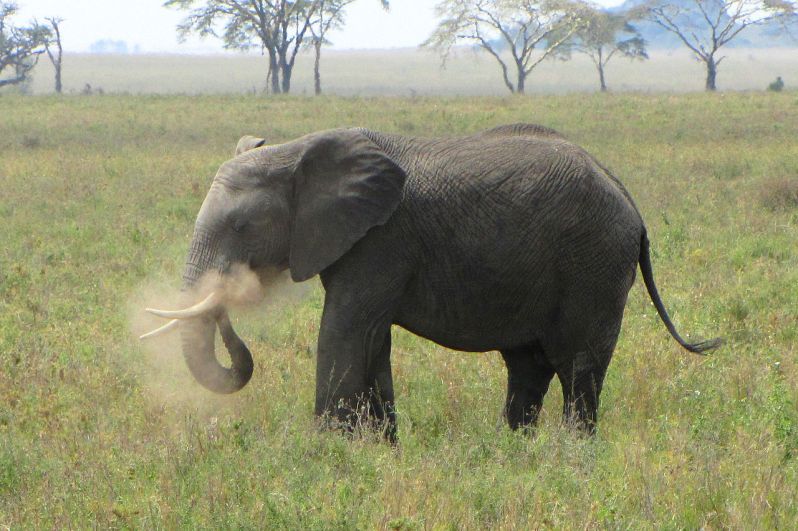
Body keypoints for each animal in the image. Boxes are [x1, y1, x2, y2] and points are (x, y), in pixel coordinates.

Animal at [141, 122, 720, 438]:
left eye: (240, 228)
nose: (228, 300)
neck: (300, 150)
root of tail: (629, 201)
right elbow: (370, 341)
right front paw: (378, 450)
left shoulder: (381, 239)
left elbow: (344, 331)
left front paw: (324, 452)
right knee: (529, 366)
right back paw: (515, 451)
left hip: (593, 264)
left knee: (578, 370)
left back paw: (571, 456)